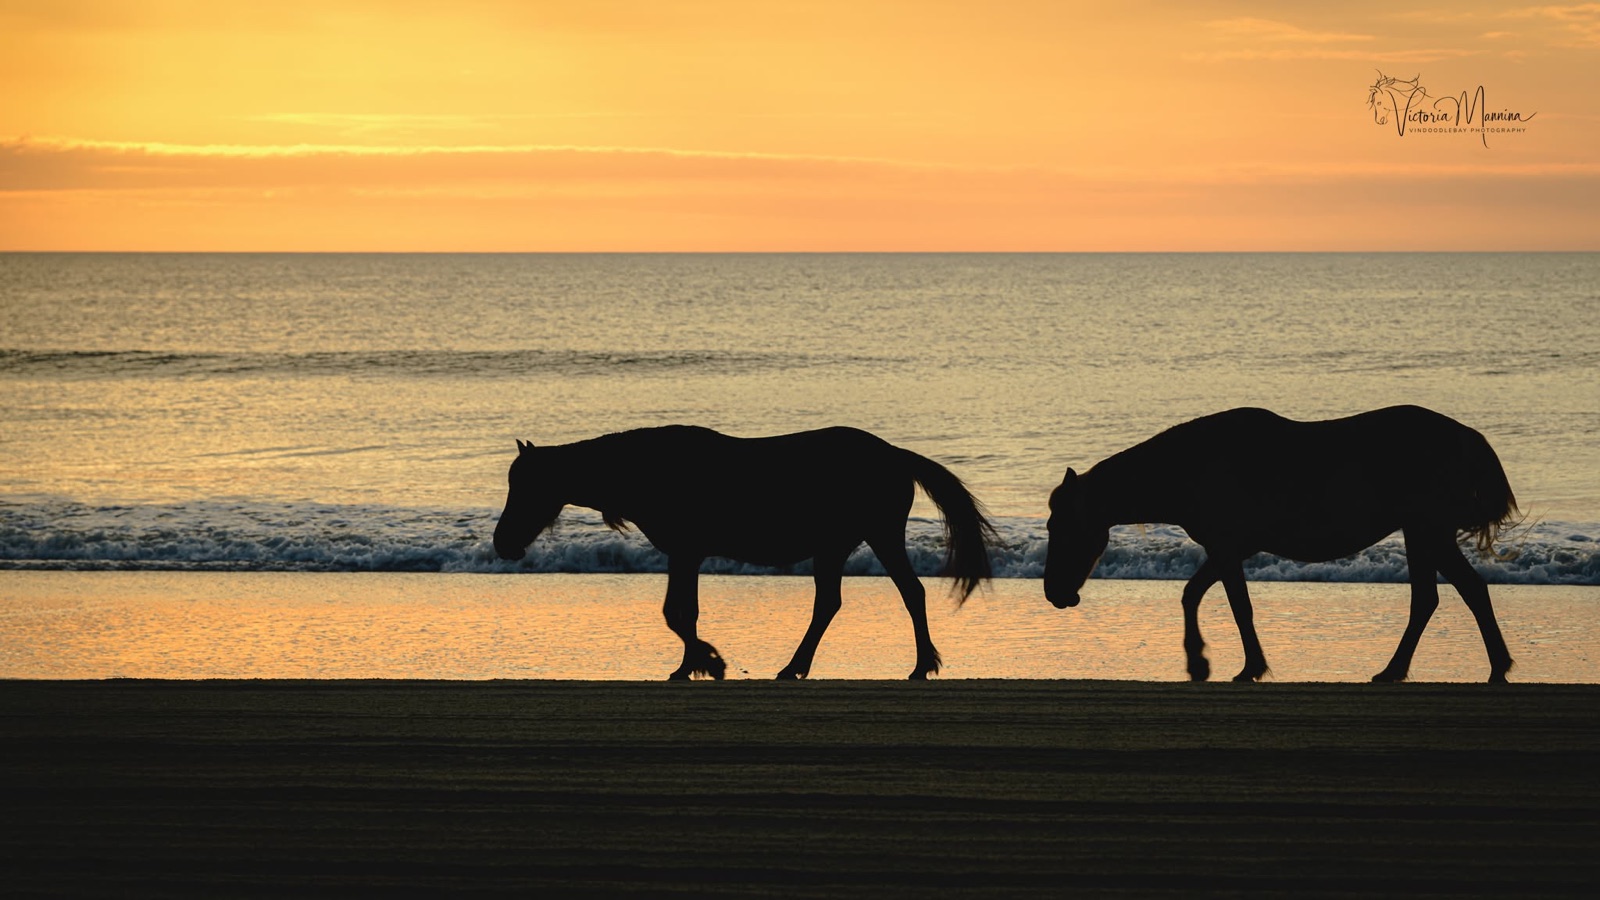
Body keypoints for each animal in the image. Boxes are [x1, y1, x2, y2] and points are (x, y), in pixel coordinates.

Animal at [493, 425, 997, 680]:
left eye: (526, 486)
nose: (503, 543)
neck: (650, 467)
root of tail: (894, 454)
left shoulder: (686, 551)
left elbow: (678, 613)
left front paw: (708, 663)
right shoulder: (685, 554)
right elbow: (681, 612)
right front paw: (693, 665)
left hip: (878, 536)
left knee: (907, 593)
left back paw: (918, 666)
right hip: (837, 546)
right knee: (832, 604)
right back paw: (797, 667)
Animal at [1043, 406, 1519, 683]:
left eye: (1061, 527)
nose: (1054, 594)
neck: (1191, 465)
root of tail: (1465, 437)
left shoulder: (1227, 548)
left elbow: (1237, 606)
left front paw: (1246, 667)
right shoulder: (1230, 548)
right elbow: (1193, 594)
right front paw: (1199, 663)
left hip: (1427, 531)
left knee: (1450, 594)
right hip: (1424, 534)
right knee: (1445, 595)